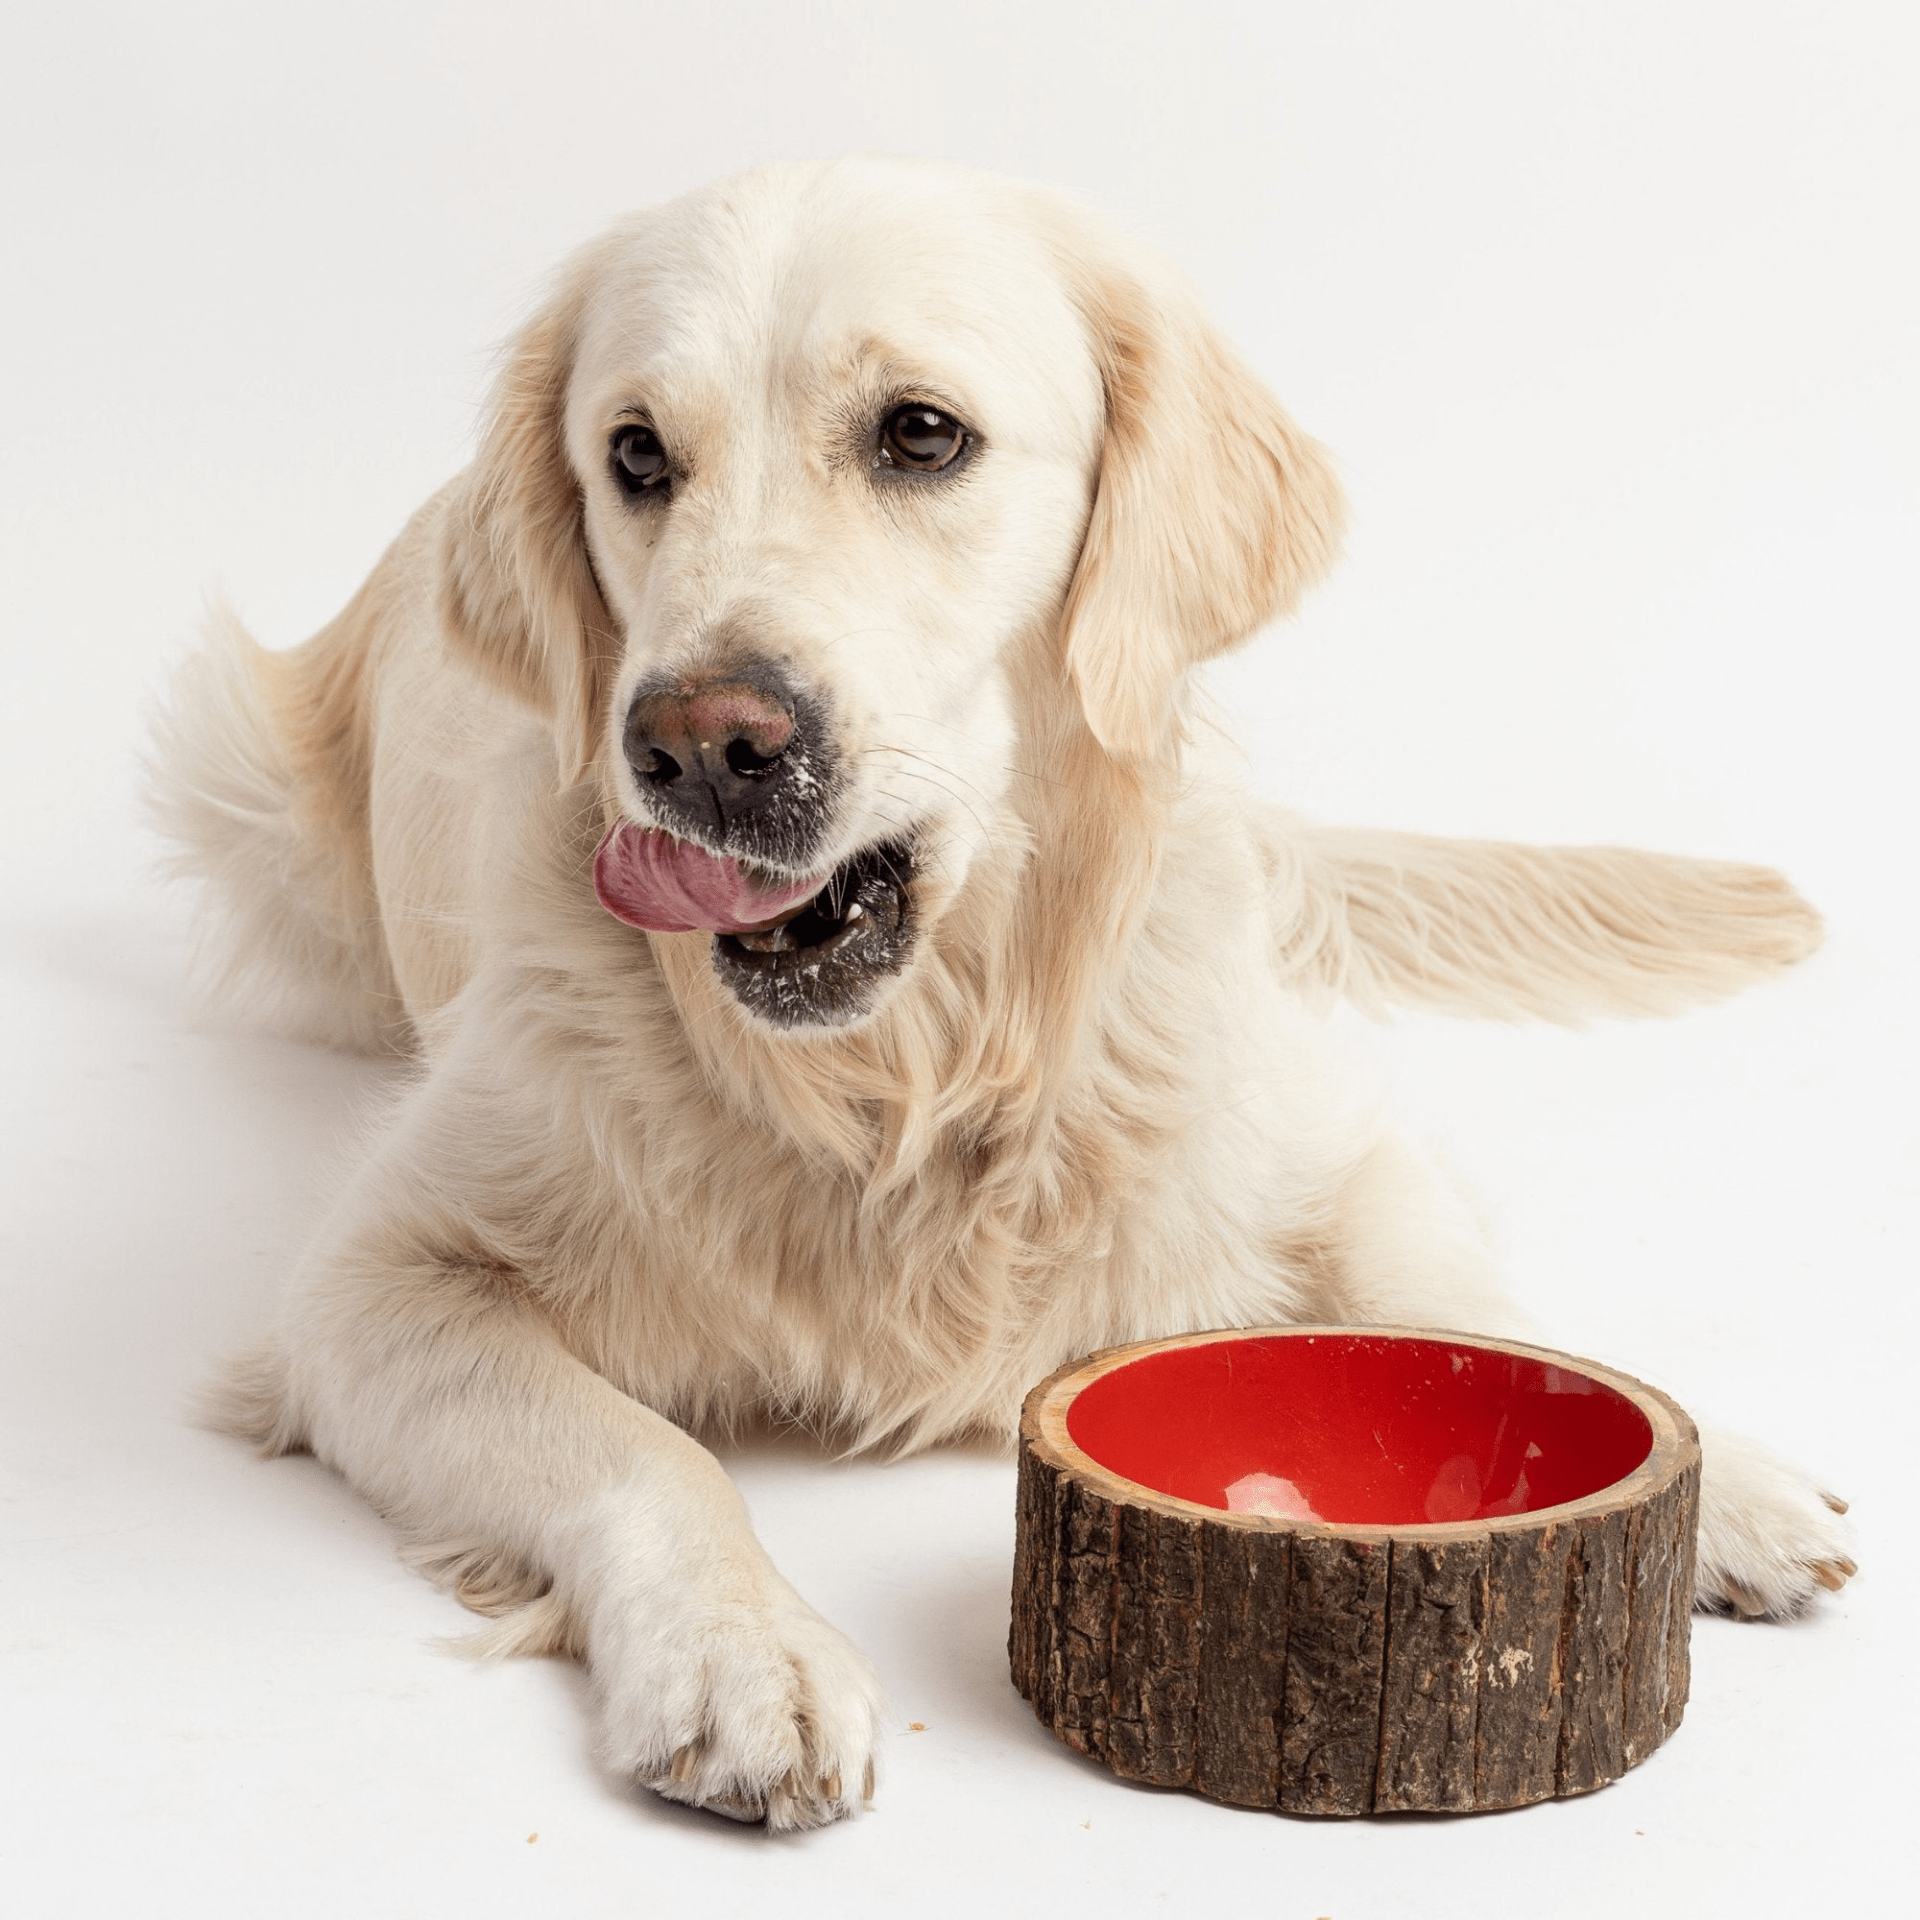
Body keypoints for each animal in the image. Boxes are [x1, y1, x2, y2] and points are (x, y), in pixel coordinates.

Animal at [153, 153, 1858, 1827]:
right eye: (635, 455)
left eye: (922, 433)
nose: (698, 744)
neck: (909, 1077)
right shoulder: (373, 1288)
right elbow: (636, 1448)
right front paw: (739, 1652)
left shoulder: (1323, 1141)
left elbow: (1466, 1304)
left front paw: (1727, 1482)